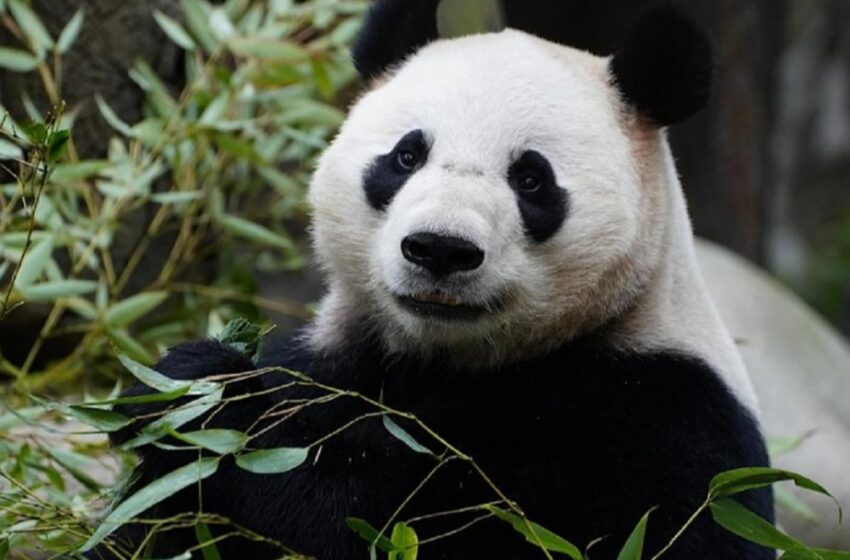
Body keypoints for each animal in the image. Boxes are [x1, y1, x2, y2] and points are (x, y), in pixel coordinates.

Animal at [88, 2, 774, 559]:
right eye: (406, 155)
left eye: (531, 179)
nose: (440, 249)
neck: (448, 359)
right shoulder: (332, 362)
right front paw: (179, 388)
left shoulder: (663, 423)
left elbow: (382, 516)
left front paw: (213, 401)